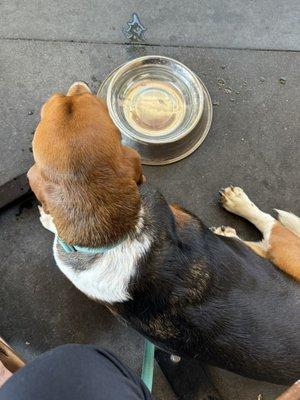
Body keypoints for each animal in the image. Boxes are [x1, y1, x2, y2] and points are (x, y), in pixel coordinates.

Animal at [28, 81, 300, 384]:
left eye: (63, 101)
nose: (77, 85)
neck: (115, 235)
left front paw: (47, 218)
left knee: (272, 229)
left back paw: (237, 205)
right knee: (261, 241)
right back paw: (231, 224)